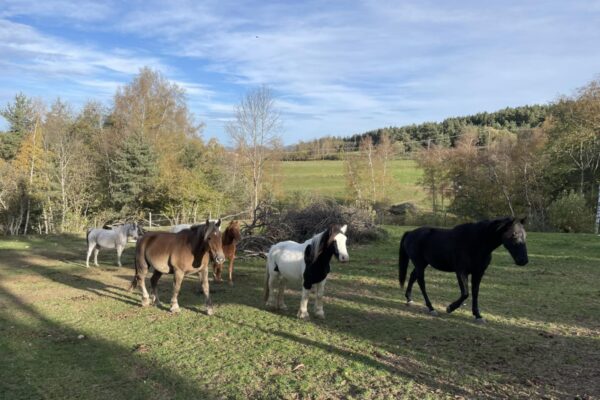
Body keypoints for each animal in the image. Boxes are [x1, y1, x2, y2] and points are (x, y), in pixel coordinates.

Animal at [400, 217, 528, 324]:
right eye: (514, 234)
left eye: (525, 236)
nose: (523, 260)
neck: (475, 243)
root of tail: (410, 233)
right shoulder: (461, 272)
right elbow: (465, 293)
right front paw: (450, 308)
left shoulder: (478, 273)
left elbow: (475, 293)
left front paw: (478, 316)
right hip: (419, 264)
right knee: (421, 282)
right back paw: (431, 308)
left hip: (422, 264)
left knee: (413, 276)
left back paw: (409, 299)